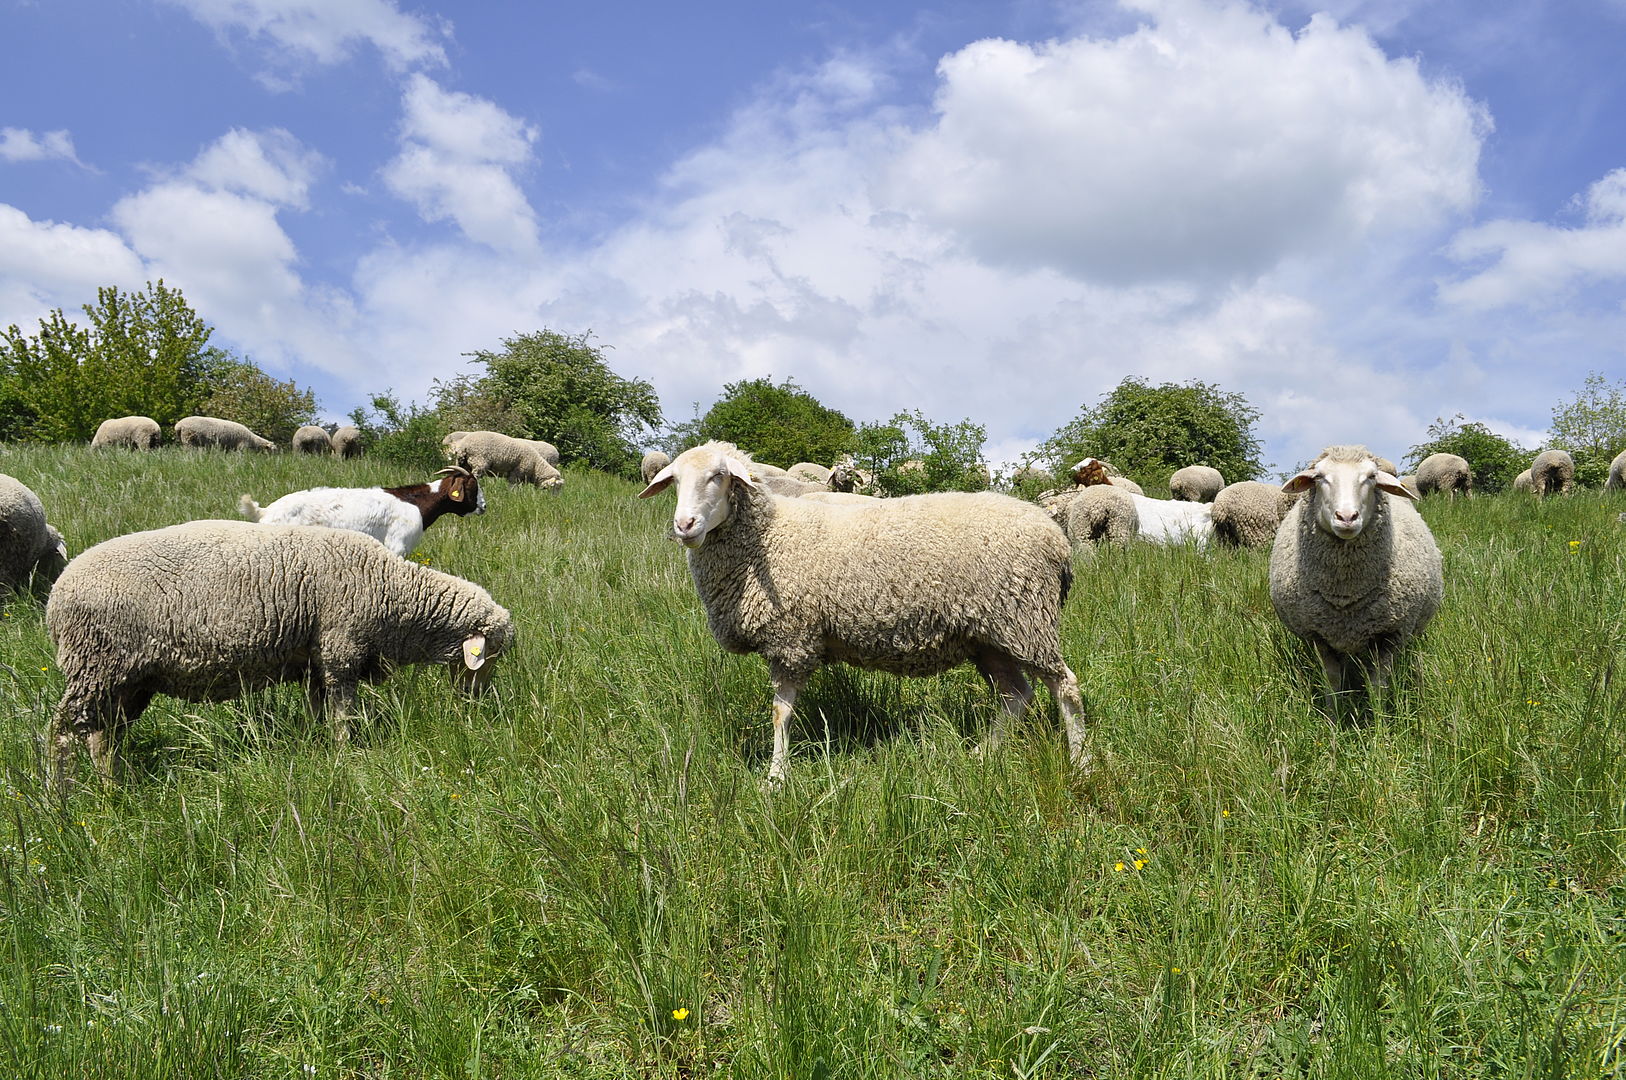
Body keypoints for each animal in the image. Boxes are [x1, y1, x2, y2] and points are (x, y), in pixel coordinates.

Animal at [45, 520, 514, 789]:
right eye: (488, 656)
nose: (477, 702)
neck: (392, 594)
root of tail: (56, 595)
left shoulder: (316, 661)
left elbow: (319, 711)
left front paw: (319, 747)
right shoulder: (340, 650)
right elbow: (343, 714)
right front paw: (345, 756)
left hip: (128, 680)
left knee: (102, 735)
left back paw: (115, 785)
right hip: (95, 664)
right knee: (63, 733)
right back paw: (65, 795)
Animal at [639, 441, 1086, 782]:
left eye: (718, 476)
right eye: (674, 480)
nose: (684, 525)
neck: (766, 537)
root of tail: (1057, 539)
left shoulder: (791, 638)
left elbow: (780, 713)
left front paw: (775, 778)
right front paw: (777, 774)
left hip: (1025, 618)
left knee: (1065, 686)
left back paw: (1081, 763)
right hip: (990, 635)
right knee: (1016, 695)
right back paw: (983, 754)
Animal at [1268, 445, 1442, 717]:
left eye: (1371, 477)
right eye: (1319, 477)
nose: (1347, 517)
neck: (1345, 595)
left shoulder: (1388, 635)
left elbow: (1378, 686)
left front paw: (1379, 721)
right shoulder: (1319, 636)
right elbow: (1331, 683)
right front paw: (1333, 719)